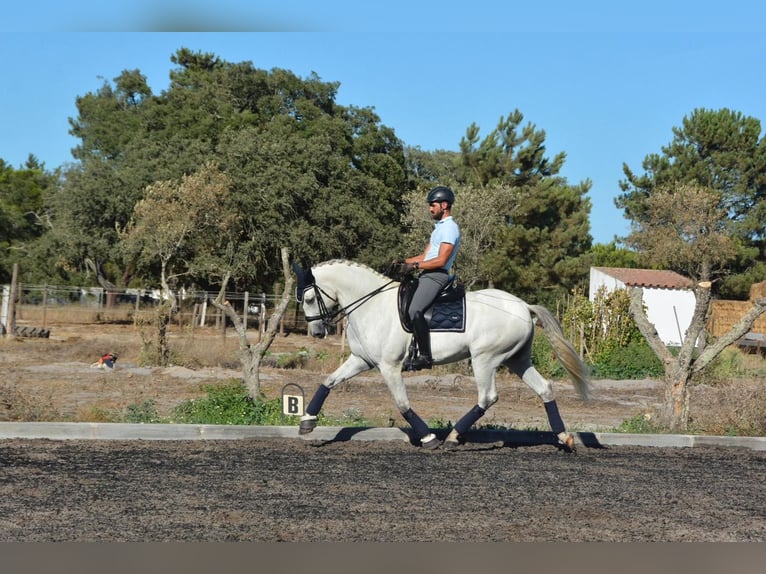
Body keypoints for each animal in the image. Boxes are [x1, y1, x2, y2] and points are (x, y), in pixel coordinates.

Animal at [296, 258, 592, 452]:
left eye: (309, 299)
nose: (317, 332)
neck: (371, 304)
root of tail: (523, 306)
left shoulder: (389, 366)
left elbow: (402, 404)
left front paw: (428, 438)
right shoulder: (361, 360)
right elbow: (328, 381)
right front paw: (307, 422)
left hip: (485, 359)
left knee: (487, 397)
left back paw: (452, 437)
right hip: (516, 359)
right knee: (544, 389)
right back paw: (564, 438)